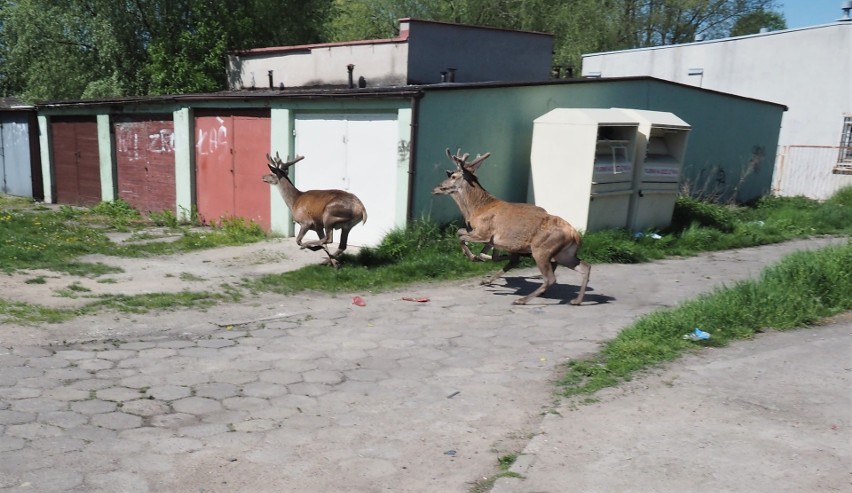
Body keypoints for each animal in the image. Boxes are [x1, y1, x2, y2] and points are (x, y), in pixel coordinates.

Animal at [432, 147, 592, 304]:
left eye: (453, 176)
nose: (436, 188)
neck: (477, 209)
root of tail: (576, 235)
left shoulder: (484, 232)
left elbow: (460, 235)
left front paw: (472, 257)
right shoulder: (490, 239)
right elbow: (468, 238)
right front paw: (477, 259)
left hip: (542, 249)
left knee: (550, 277)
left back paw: (522, 299)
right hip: (564, 253)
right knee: (585, 266)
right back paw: (576, 300)